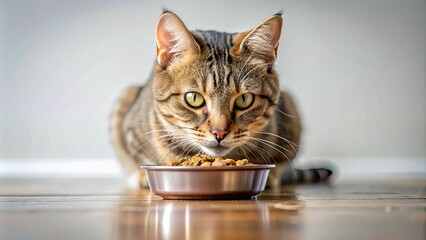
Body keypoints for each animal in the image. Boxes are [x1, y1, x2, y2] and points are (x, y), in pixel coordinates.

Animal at [110, 10, 330, 188]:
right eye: (194, 98)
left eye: (244, 100)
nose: (220, 132)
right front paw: (141, 176)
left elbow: (281, 160)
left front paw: (272, 176)